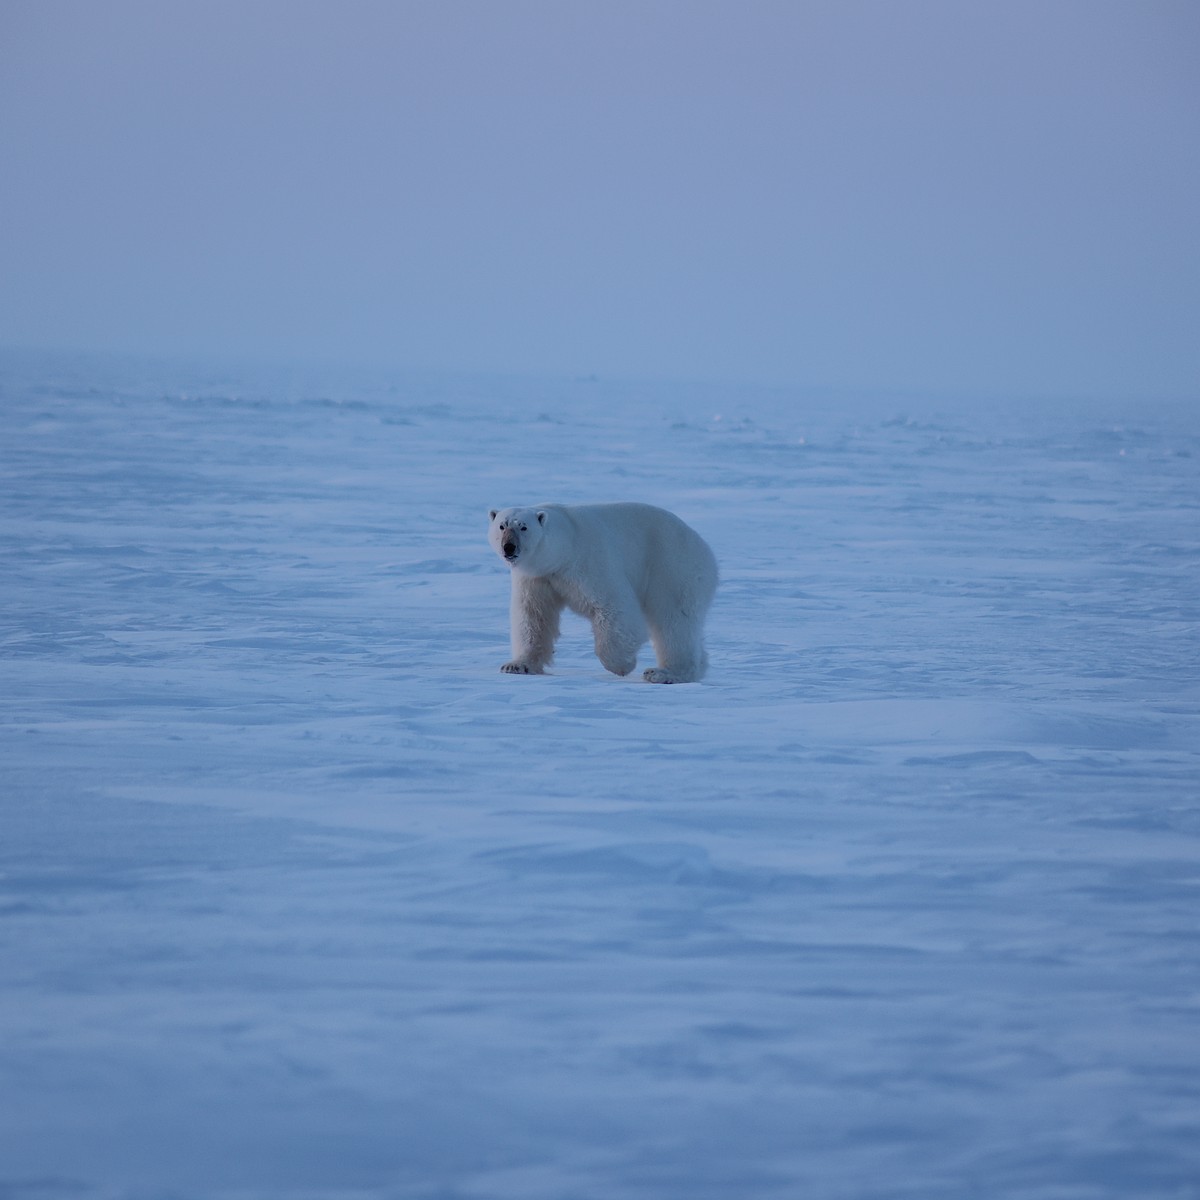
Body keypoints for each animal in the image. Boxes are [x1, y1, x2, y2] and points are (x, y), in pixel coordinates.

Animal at [489, 499, 715, 686]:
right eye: (502, 525)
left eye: (523, 527)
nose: (509, 547)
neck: (565, 545)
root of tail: (705, 549)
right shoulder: (537, 578)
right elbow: (533, 617)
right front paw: (516, 665)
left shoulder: (589, 562)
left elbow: (614, 607)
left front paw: (621, 665)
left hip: (672, 568)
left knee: (673, 621)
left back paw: (663, 673)